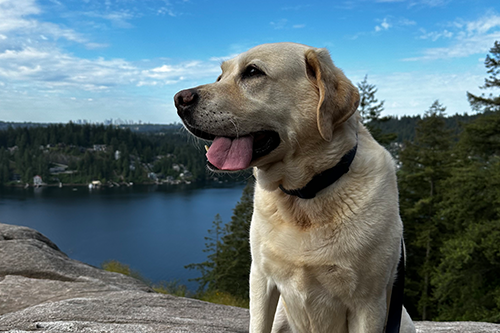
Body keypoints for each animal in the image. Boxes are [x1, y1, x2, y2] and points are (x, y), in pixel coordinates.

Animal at [174, 42, 416, 330]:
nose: (179, 99)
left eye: (252, 72)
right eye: (220, 76)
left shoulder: (368, 303)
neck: (305, 195)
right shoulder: (261, 279)